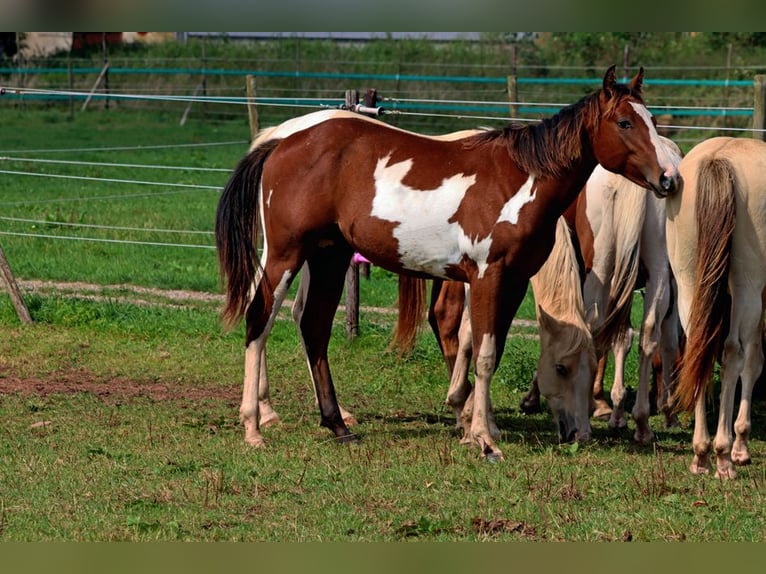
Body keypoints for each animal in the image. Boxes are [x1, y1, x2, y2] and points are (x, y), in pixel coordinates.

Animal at [216, 66, 684, 464]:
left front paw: (476, 426)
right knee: (259, 320)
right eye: (624, 123)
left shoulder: (512, 281)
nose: (669, 179)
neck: (520, 181)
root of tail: (282, 142)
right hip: (285, 256)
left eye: (651, 120)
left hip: (329, 257)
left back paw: (336, 424)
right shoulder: (487, 277)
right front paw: (485, 439)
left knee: (313, 327)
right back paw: (254, 426)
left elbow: (484, 348)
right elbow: (482, 352)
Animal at [664, 136, 766, 482]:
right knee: (735, 354)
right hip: (748, 288)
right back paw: (723, 456)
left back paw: (701, 454)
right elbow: (753, 362)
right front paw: (741, 446)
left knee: (699, 348)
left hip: (689, 282)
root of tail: (718, 159)